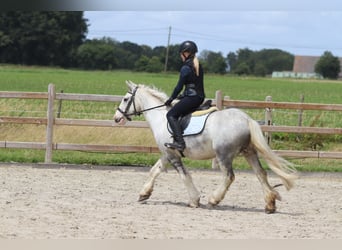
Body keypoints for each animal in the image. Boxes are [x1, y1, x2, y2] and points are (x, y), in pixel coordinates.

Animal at [113, 81, 296, 214]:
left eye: (125, 99)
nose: (116, 118)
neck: (161, 117)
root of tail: (246, 119)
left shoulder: (173, 155)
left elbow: (184, 175)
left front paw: (194, 200)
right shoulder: (167, 153)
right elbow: (154, 171)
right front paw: (144, 194)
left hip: (224, 155)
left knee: (229, 176)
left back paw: (214, 200)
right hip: (249, 152)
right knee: (261, 174)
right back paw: (270, 204)